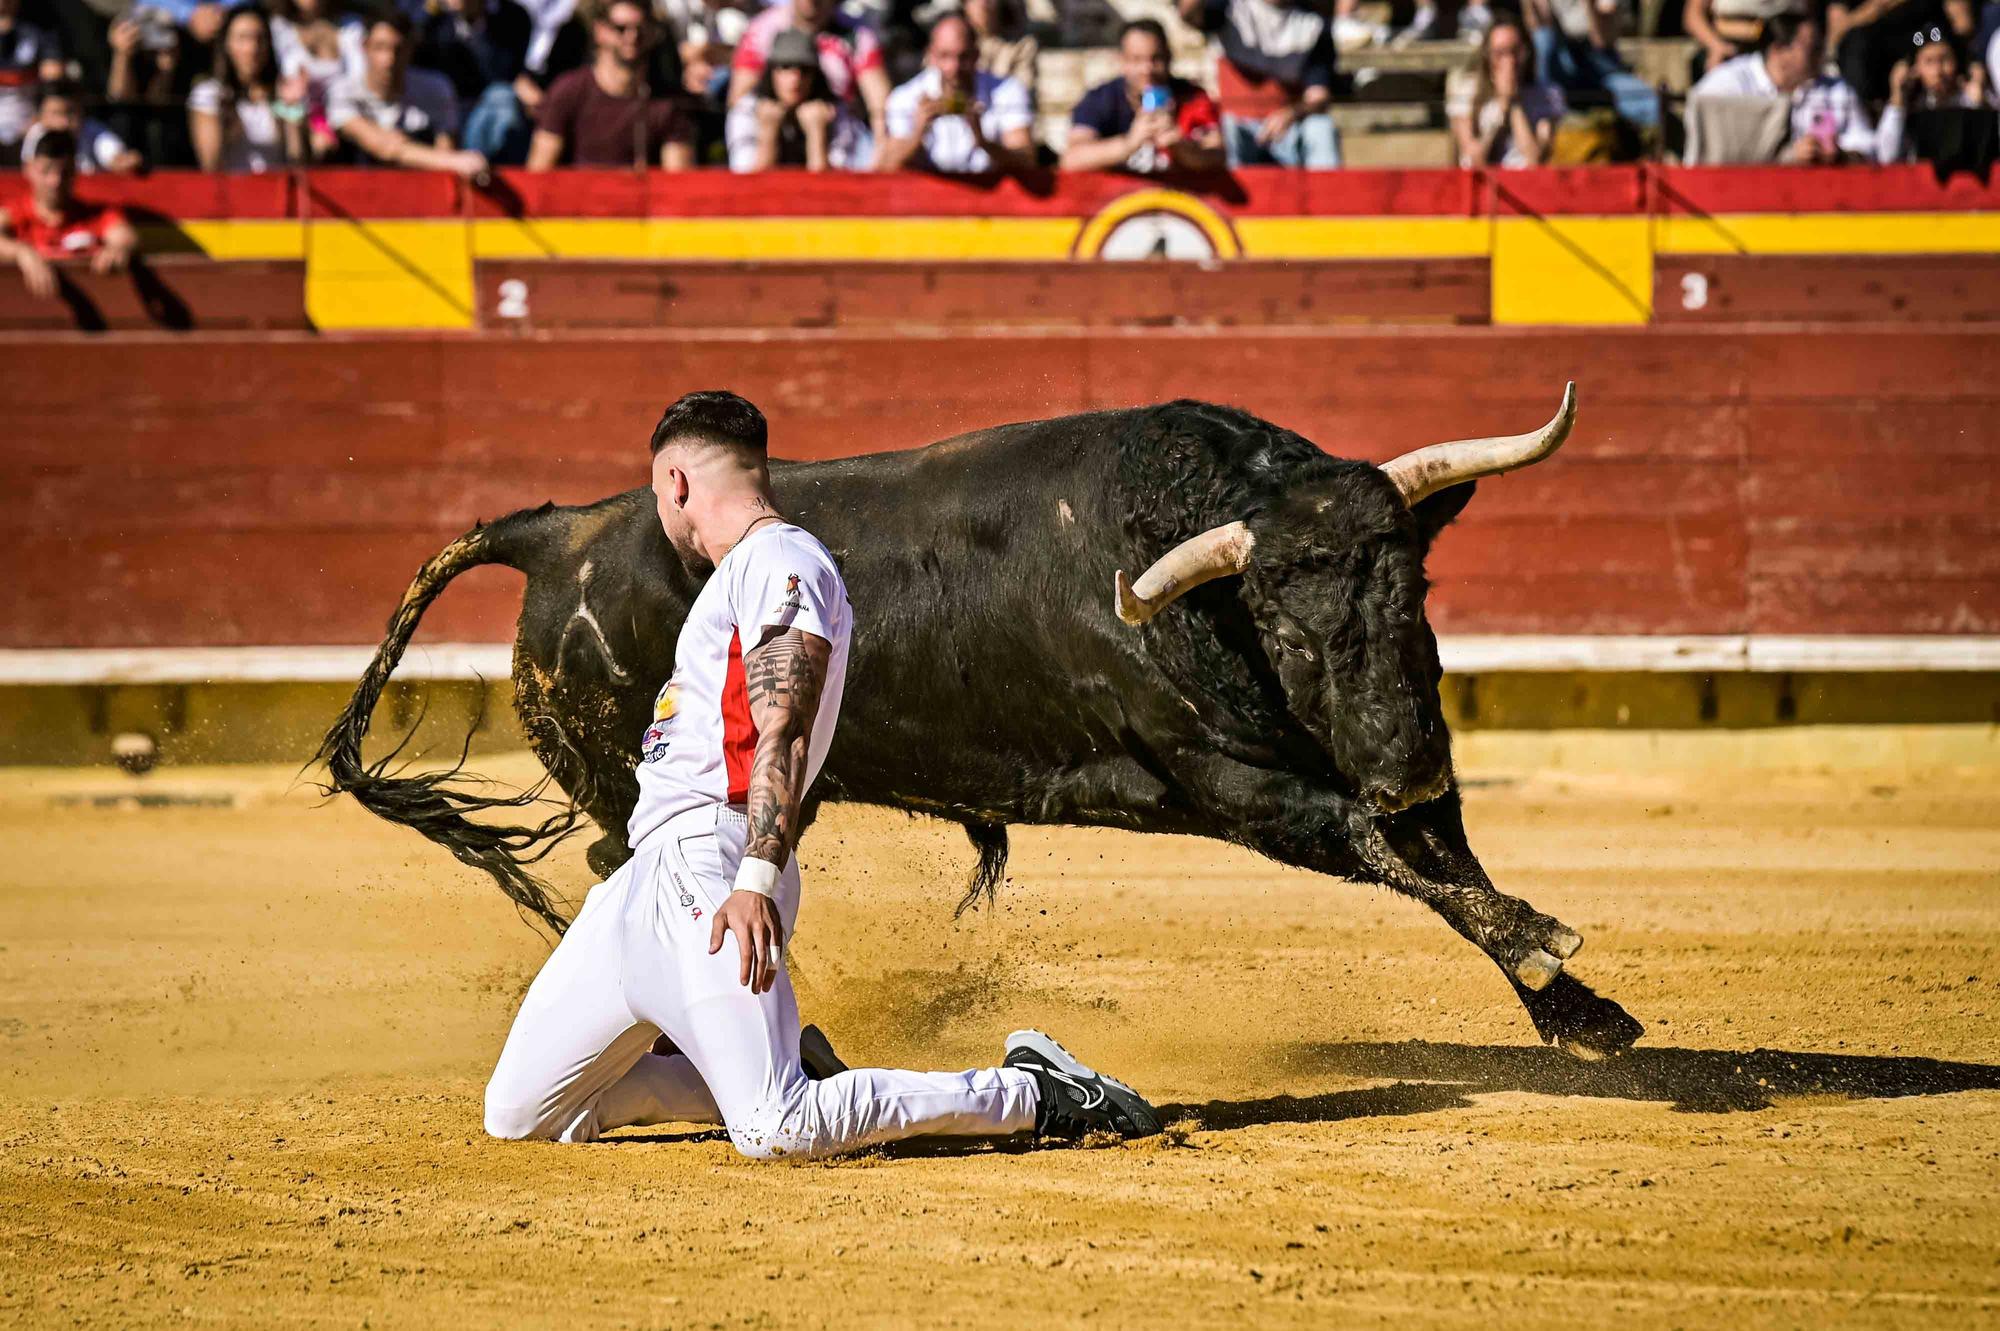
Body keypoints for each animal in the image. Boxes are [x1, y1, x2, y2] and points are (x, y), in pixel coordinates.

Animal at [324, 393, 1640, 1055]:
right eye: (1281, 618)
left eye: (1410, 586)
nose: (1401, 759)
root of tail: (558, 531)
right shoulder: (1233, 786)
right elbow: (1385, 851)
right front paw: (1544, 942)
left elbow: (1442, 854)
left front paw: (1580, 1012)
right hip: (626, 769)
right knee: (616, 861)